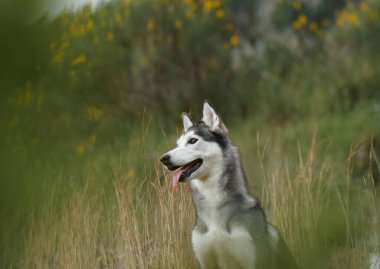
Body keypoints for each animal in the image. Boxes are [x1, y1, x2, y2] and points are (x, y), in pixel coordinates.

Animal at [159, 101, 298, 266]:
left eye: (192, 140)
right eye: (178, 144)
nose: (164, 159)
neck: (213, 204)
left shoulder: (253, 260)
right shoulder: (206, 261)